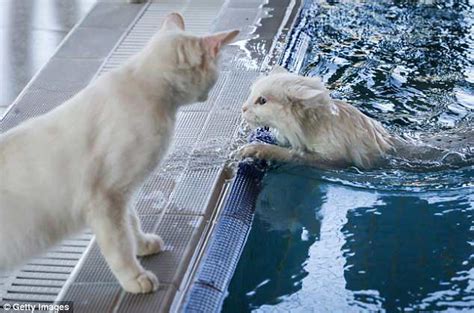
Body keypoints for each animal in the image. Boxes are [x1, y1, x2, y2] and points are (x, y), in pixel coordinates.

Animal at [0, 13, 237, 292]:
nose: (208, 94)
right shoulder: (105, 197)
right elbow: (119, 244)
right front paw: (135, 277)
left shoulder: (122, 192)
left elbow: (131, 222)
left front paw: (143, 244)